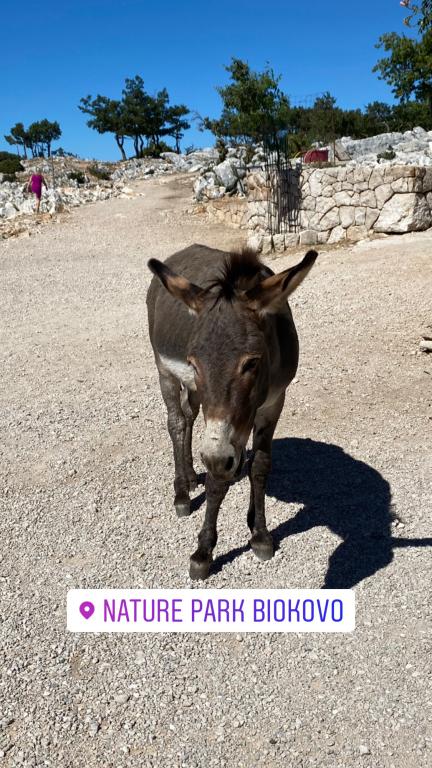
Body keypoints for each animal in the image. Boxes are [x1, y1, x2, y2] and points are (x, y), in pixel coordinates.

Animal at [146, 244, 318, 579]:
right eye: (194, 362)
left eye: (251, 363)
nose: (220, 459)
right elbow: (217, 478)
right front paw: (203, 552)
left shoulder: (274, 402)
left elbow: (260, 465)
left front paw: (260, 534)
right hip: (165, 373)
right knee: (176, 422)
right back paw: (182, 493)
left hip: (196, 392)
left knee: (188, 416)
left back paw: (192, 476)